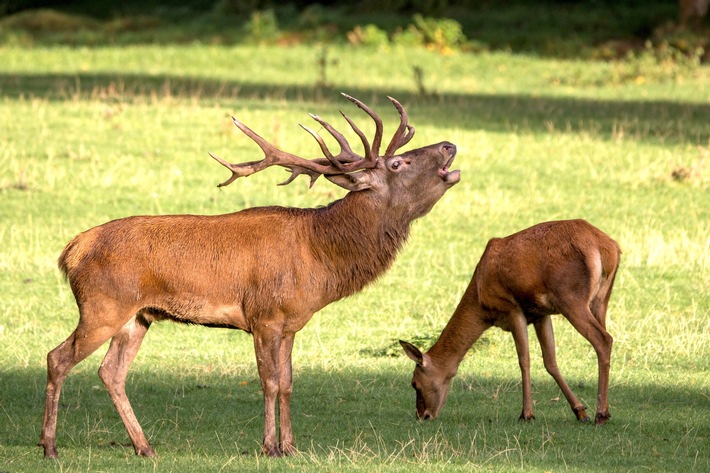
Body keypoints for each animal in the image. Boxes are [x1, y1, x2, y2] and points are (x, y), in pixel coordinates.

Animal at [39, 93, 462, 458]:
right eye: (398, 164)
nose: (448, 145)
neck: (320, 257)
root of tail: (72, 250)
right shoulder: (263, 316)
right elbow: (269, 382)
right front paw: (270, 446)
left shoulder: (291, 324)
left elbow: (288, 383)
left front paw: (292, 446)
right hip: (102, 305)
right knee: (57, 358)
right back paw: (50, 446)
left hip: (136, 317)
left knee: (111, 372)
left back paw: (145, 447)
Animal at [404, 220, 620, 424]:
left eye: (414, 382)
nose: (422, 415)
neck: (481, 301)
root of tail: (609, 248)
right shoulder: (541, 314)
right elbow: (550, 361)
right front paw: (580, 411)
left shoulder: (511, 307)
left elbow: (524, 359)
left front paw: (526, 414)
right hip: (601, 299)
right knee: (605, 338)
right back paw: (603, 411)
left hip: (571, 298)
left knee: (603, 339)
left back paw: (601, 414)